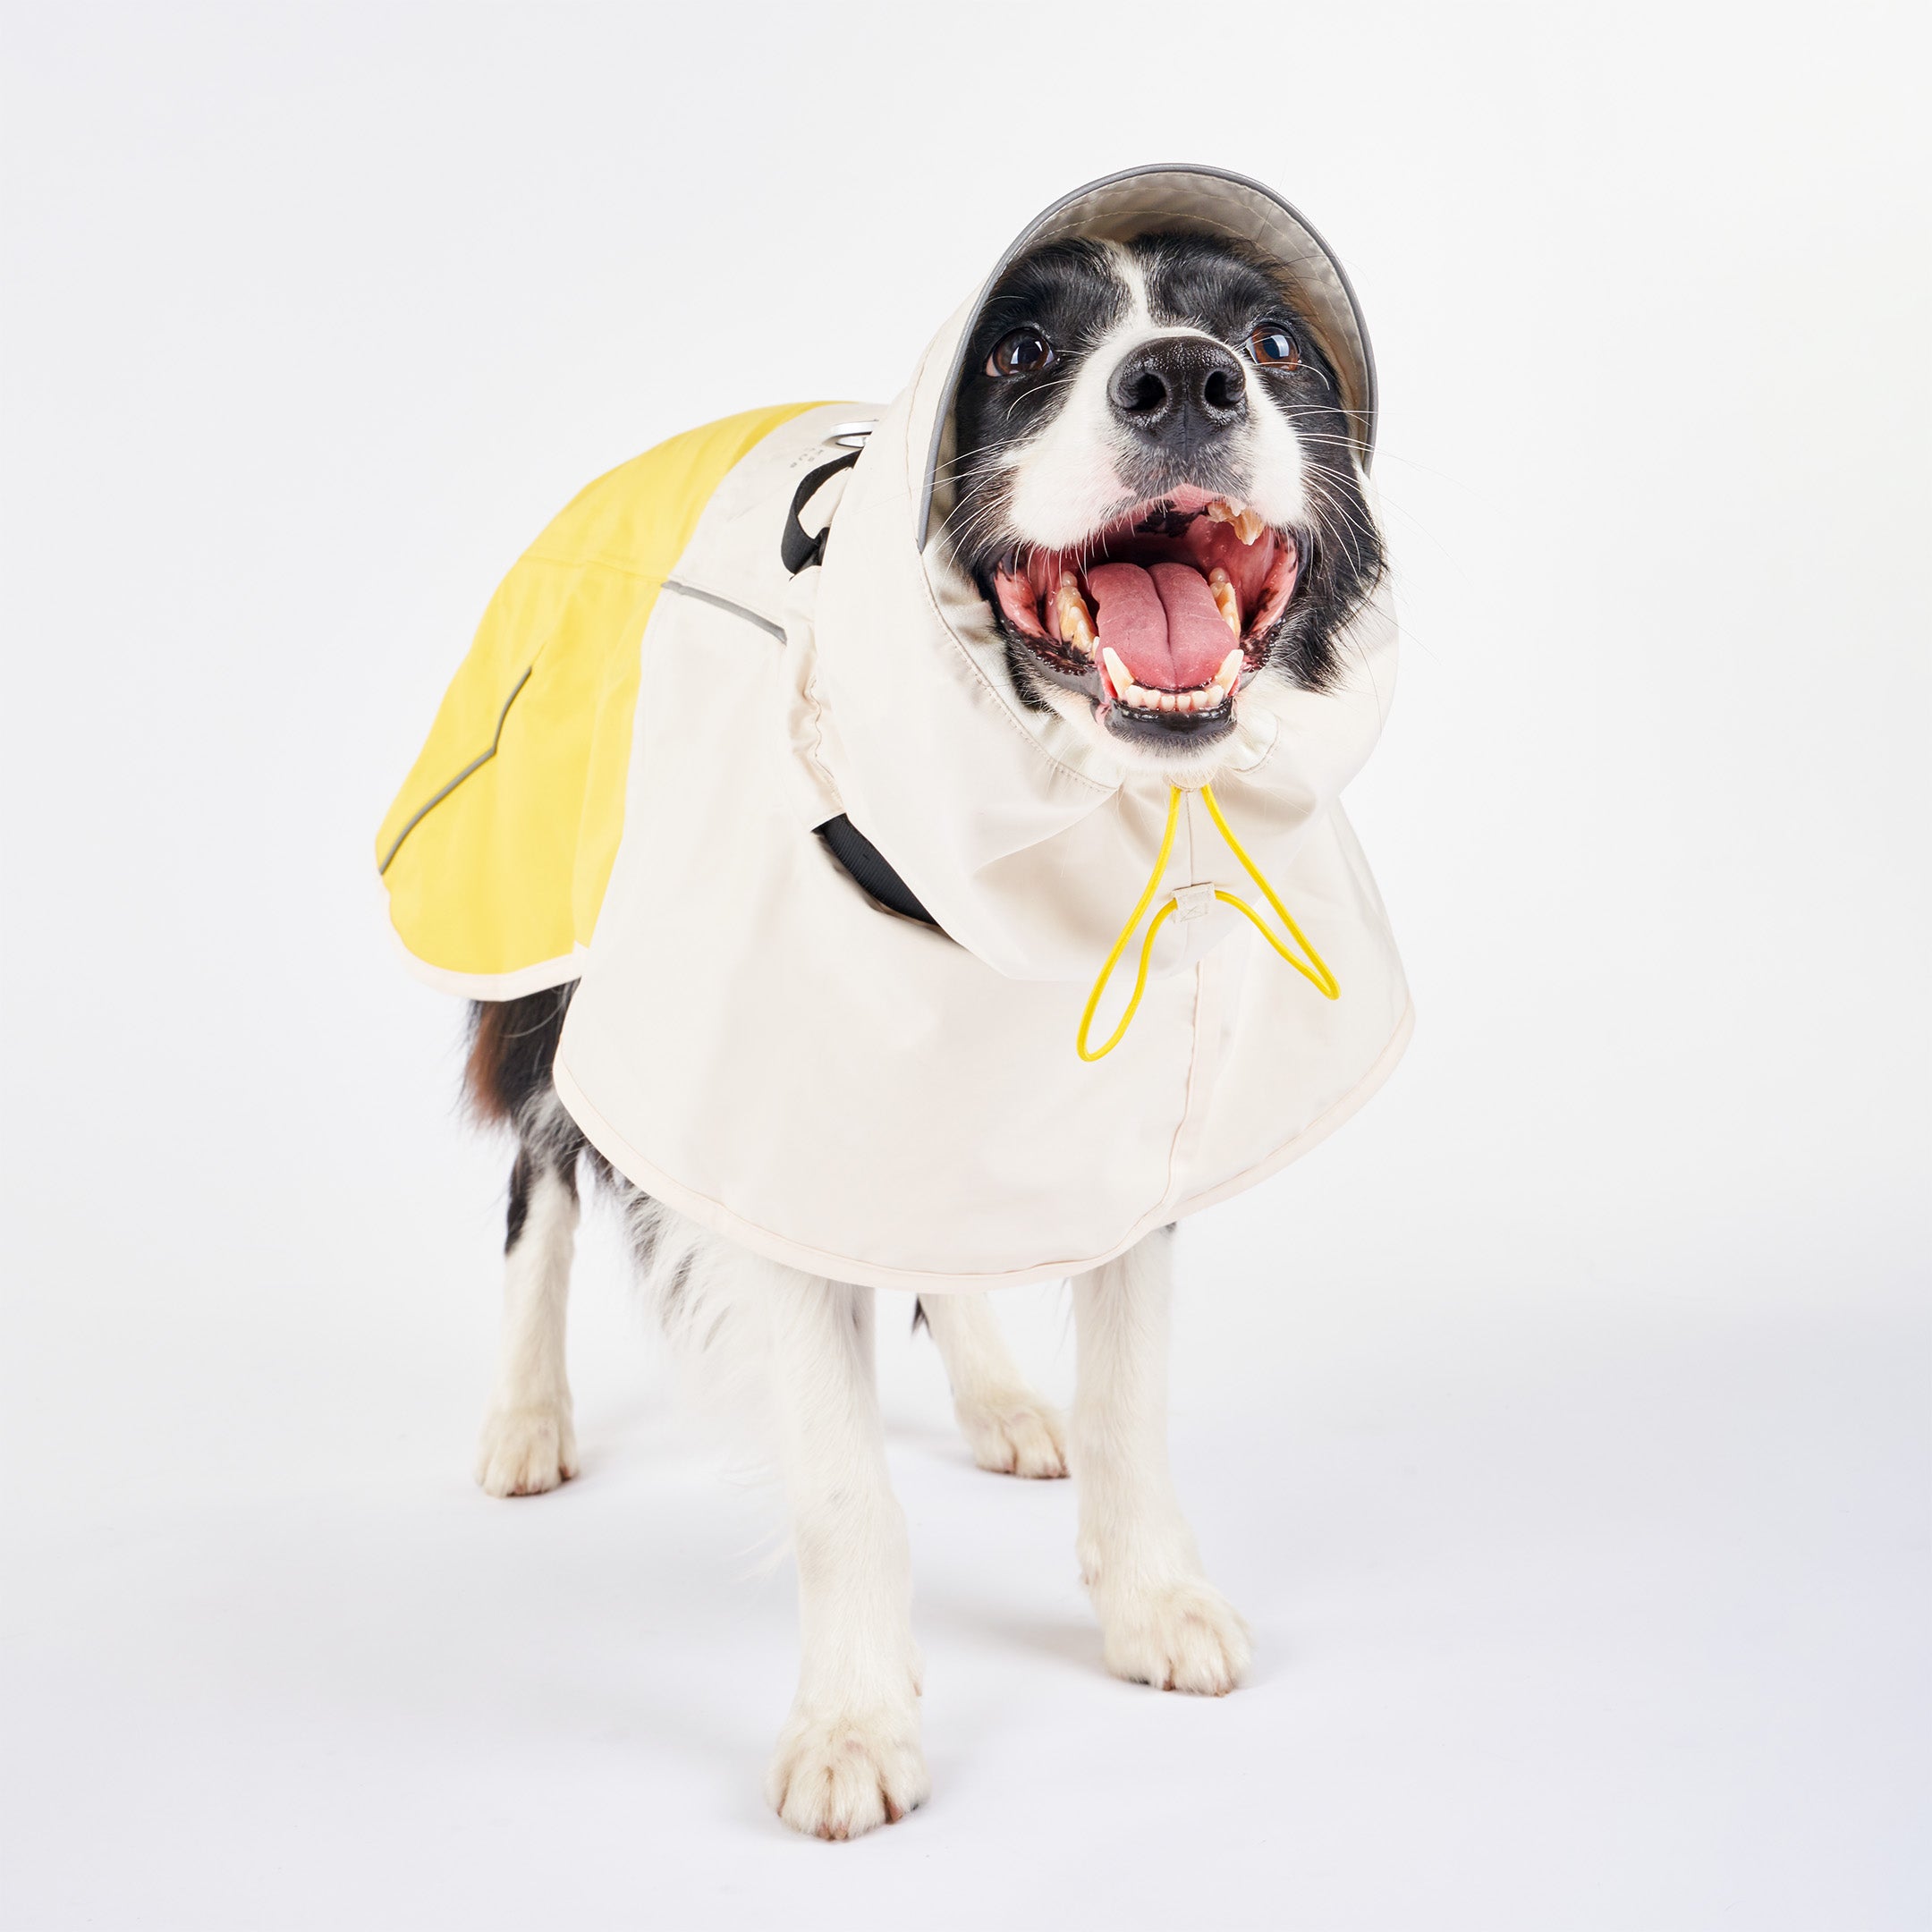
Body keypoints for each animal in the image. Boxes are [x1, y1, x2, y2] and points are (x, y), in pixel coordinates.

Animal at [427, 188, 1391, 1831]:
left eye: (1271, 342)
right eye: (1017, 351)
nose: (1185, 381)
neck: (1025, 837)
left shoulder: (1127, 1102)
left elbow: (1126, 1394)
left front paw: (1151, 1601)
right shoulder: (746, 1108)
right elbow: (838, 1479)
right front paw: (853, 1724)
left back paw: (1001, 1400)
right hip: (554, 948)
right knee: (537, 1176)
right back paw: (525, 1418)